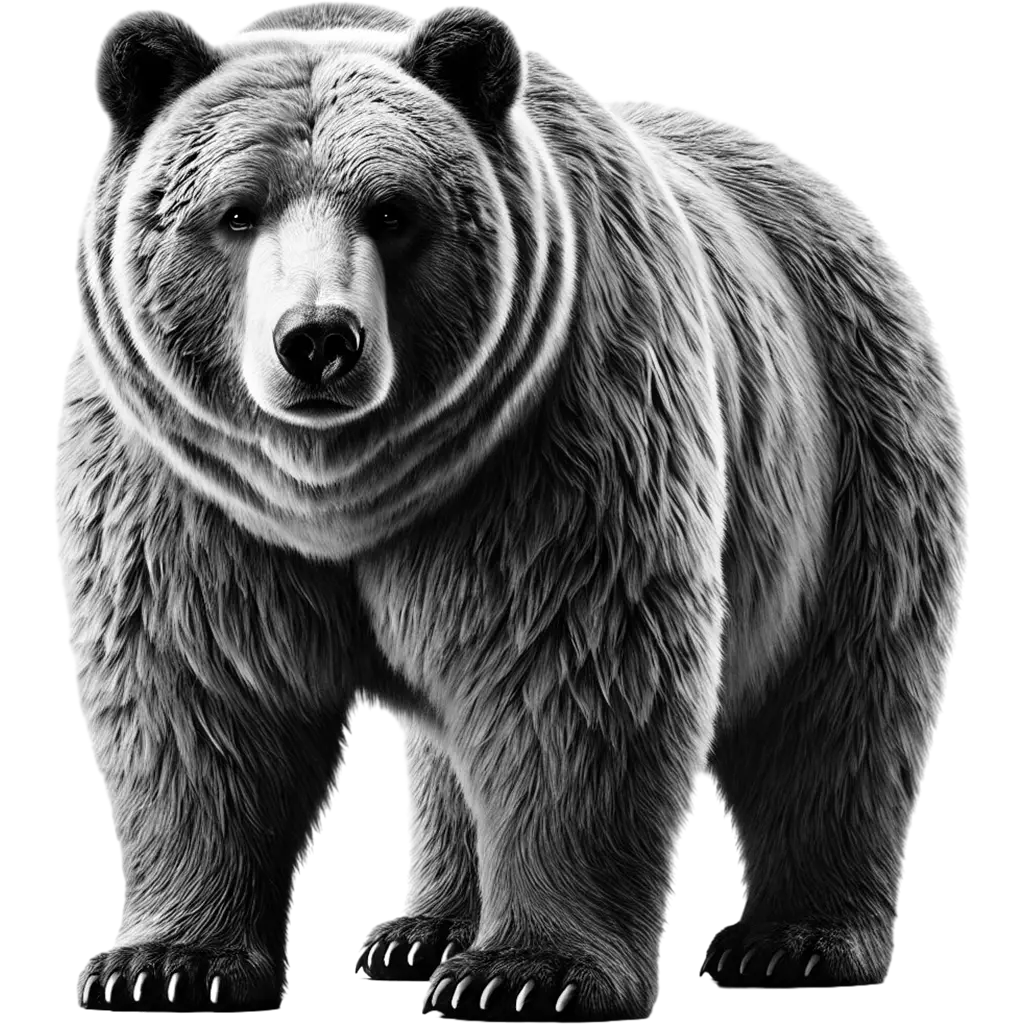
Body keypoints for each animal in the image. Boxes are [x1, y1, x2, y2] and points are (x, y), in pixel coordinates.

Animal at [57, 1, 968, 1019]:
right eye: (236, 210)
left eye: (393, 209)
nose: (318, 342)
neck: (337, 490)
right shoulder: (184, 488)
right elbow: (199, 690)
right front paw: (163, 961)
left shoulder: (557, 441)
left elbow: (571, 675)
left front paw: (525, 974)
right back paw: (421, 929)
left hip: (850, 452)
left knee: (836, 705)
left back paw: (794, 944)